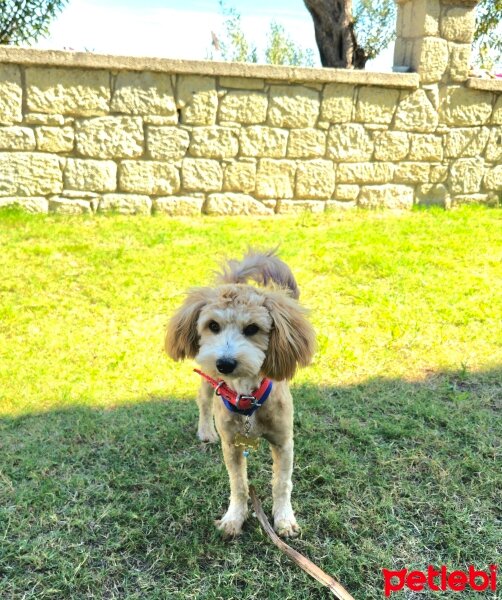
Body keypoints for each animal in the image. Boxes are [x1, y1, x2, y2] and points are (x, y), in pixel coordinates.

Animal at [166, 248, 314, 540]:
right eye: (213, 325)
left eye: (252, 329)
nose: (225, 363)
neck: (247, 397)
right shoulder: (232, 445)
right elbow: (238, 484)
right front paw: (234, 518)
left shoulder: (283, 441)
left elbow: (282, 483)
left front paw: (284, 519)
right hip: (207, 378)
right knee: (203, 402)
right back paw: (205, 431)